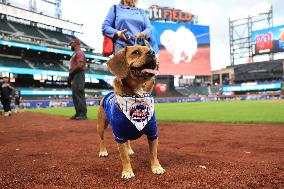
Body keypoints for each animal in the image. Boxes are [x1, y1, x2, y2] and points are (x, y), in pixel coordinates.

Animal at [97, 44, 165, 179]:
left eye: (150, 49)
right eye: (136, 52)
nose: (152, 52)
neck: (137, 96)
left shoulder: (152, 132)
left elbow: (153, 153)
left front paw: (156, 167)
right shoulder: (119, 135)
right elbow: (124, 157)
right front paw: (127, 171)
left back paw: (129, 149)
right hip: (101, 126)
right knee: (102, 139)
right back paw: (103, 151)